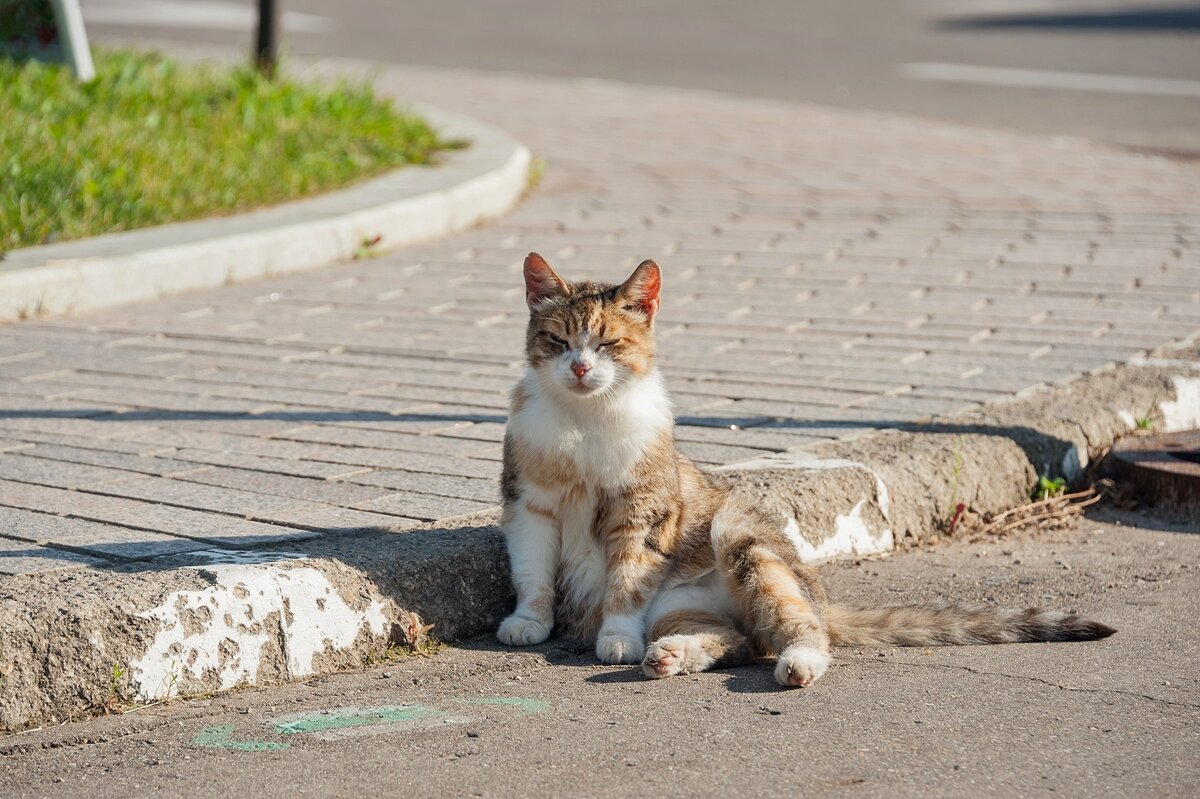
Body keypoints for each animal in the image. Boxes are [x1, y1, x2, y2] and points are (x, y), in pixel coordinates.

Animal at [494, 250, 1113, 686]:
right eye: (559, 341)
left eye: (608, 343)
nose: (579, 368)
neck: (584, 420)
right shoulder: (528, 503)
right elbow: (532, 570)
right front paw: (530, 621)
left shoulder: (643, 511)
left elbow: (627, 575)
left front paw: (617, 634)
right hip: (683, 606)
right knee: (736, 640)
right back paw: (670, 654)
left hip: (742, 538)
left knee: (795, 628)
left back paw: (797, 663)